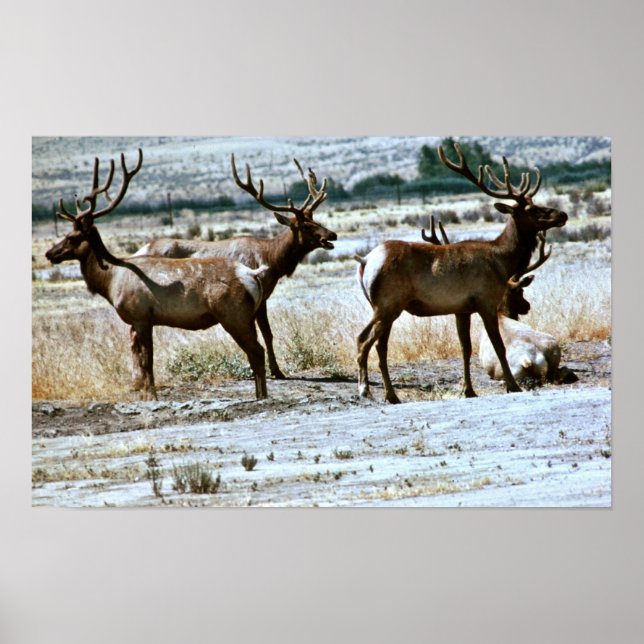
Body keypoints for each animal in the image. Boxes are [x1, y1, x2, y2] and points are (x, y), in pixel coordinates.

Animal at [45, 149, 268, 401]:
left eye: (72, 237)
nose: (49, 253)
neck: (111, 282)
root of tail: (252, 273)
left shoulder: (141, 316)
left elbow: (147, 361)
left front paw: (151, 395)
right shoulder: (140, 321)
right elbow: (141, 359)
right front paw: (145, 394)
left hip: (233, 315)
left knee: (257, 352)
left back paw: (261, 396)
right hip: (249, 316)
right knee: (256, 351)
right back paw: (260, 394)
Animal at [135, 156, 338, 379]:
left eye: (315, 220)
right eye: (304, 226)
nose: (332, 235)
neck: (272, 261)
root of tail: (140, 249)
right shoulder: (258, 297)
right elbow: (265, 333)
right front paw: (275, 371)